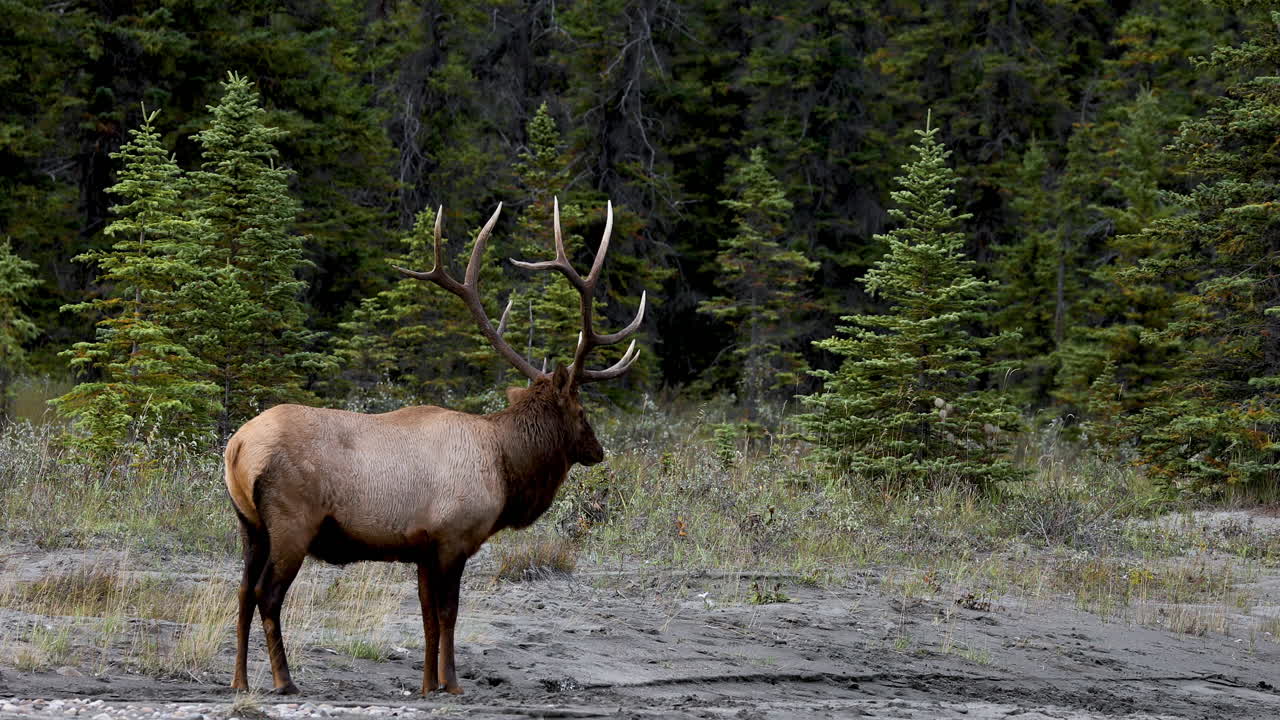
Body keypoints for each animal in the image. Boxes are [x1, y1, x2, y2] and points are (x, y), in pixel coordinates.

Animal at [224, 199, 645, 696]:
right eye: (581, 412)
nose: (598, 450)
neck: (505, 466)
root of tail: (237, 446)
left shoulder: (422, 548)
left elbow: (426, 618)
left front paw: (428, 684)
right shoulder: (453, 537)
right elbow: (448, 614)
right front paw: (453, 684)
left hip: (250, 525)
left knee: (242, 591)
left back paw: (239, 681)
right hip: (292, 521)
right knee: (267, 595)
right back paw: (284, 681)